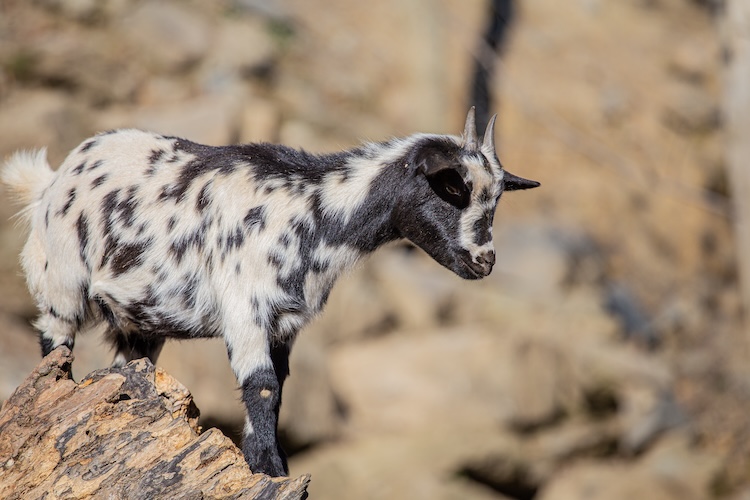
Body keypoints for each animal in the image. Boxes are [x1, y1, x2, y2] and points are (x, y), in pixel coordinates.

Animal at [1, 108, 539, 477]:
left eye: (497, 198)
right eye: (452, 189)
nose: (484, 262)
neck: (313, 211)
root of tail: (51, 181)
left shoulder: (285, 324)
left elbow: (278, 391)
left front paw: (266, 462)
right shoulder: (246, 309)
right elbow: (261, 386)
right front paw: (269, 470)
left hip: (140, 321)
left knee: (130, 363)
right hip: (59, 282)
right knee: (55, 345)